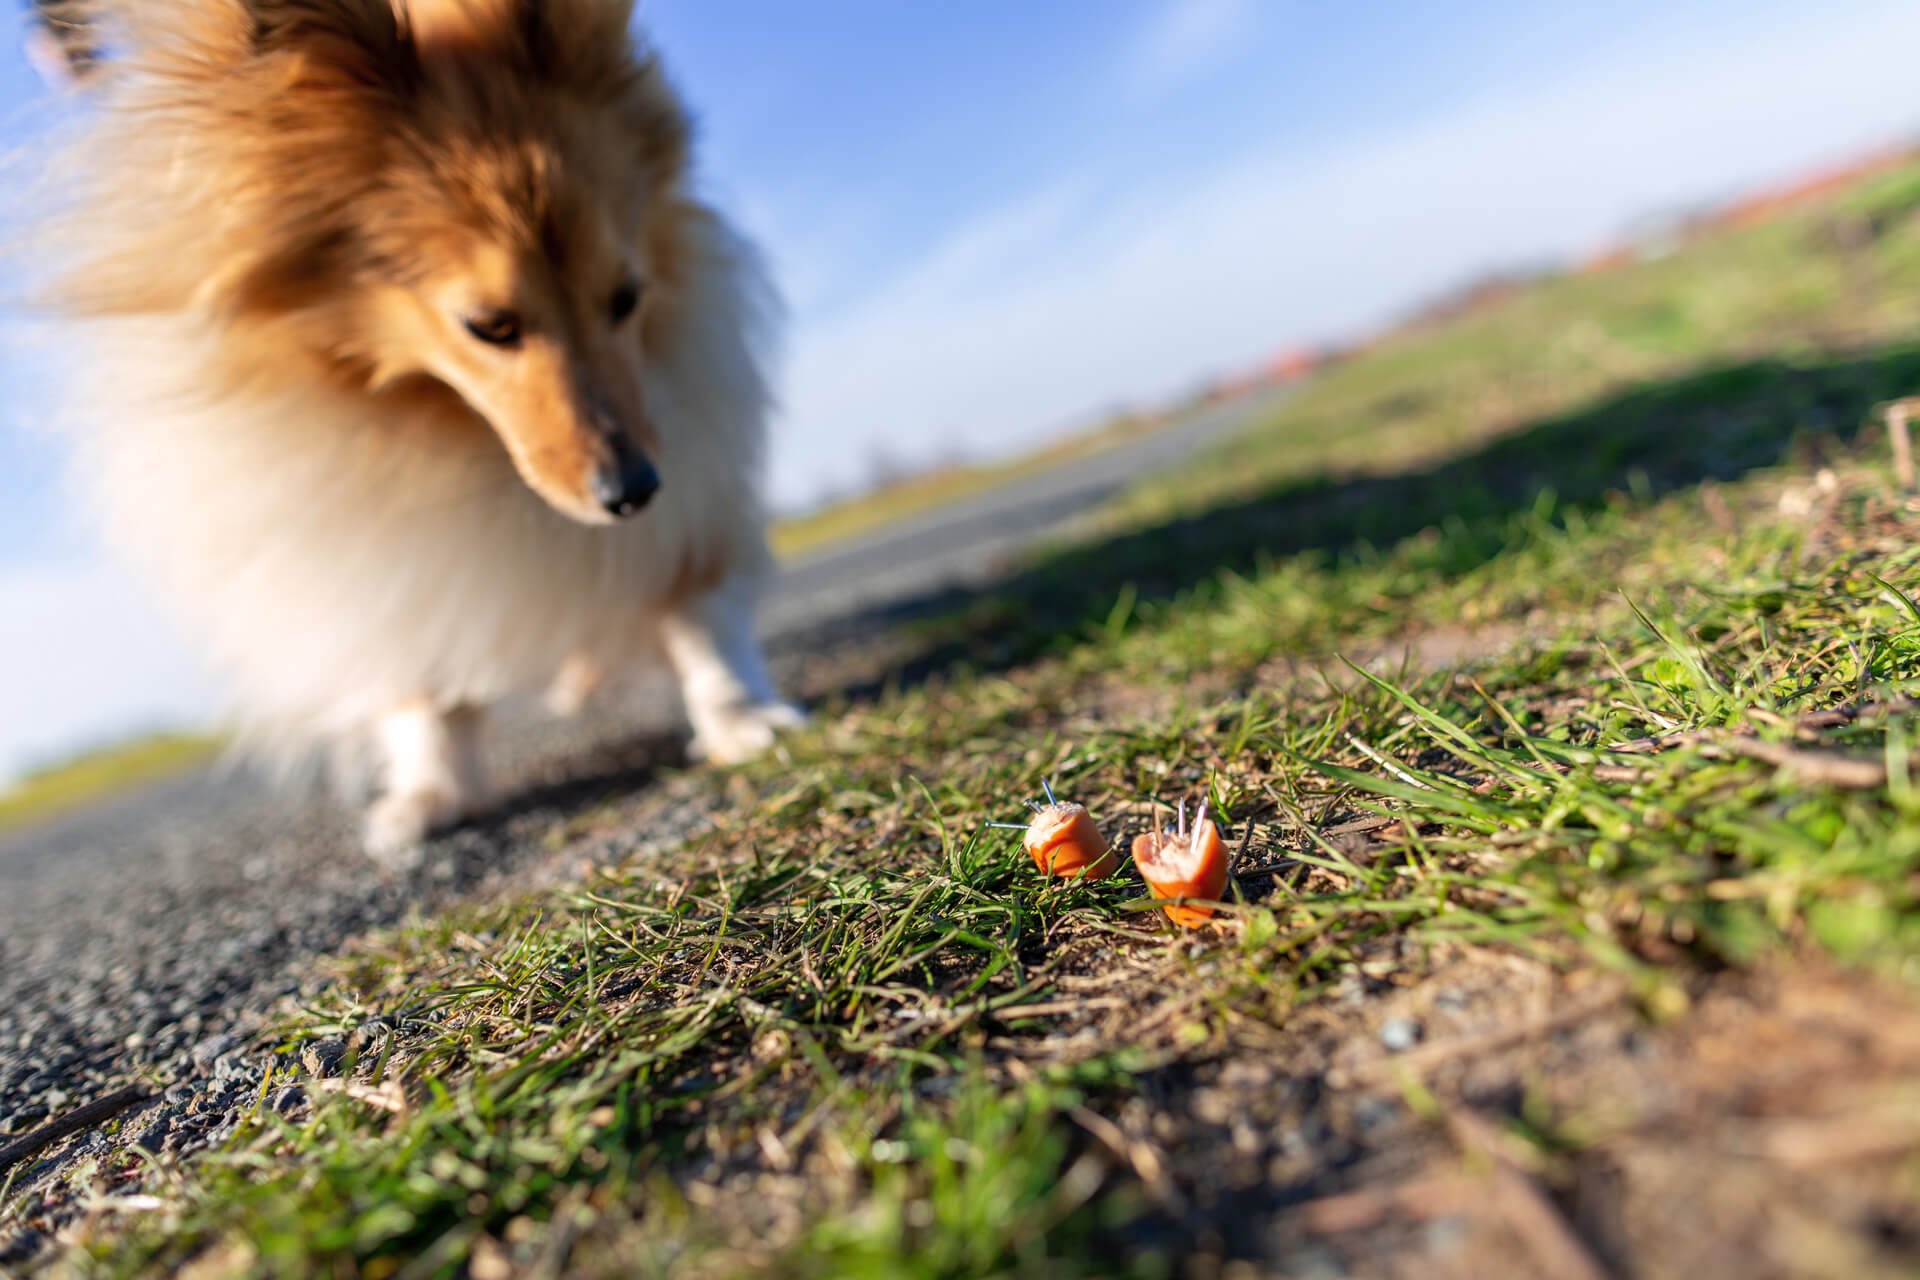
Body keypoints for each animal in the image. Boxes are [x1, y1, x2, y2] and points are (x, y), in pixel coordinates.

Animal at [31, 2, 810, 859]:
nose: (632, 491)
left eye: (626, 296)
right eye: (489, 325)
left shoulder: (689, 420)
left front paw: (740, 715)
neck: (446, 423)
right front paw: (432, 791)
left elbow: (694, 595)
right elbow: (418, 668)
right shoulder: (363, 532)